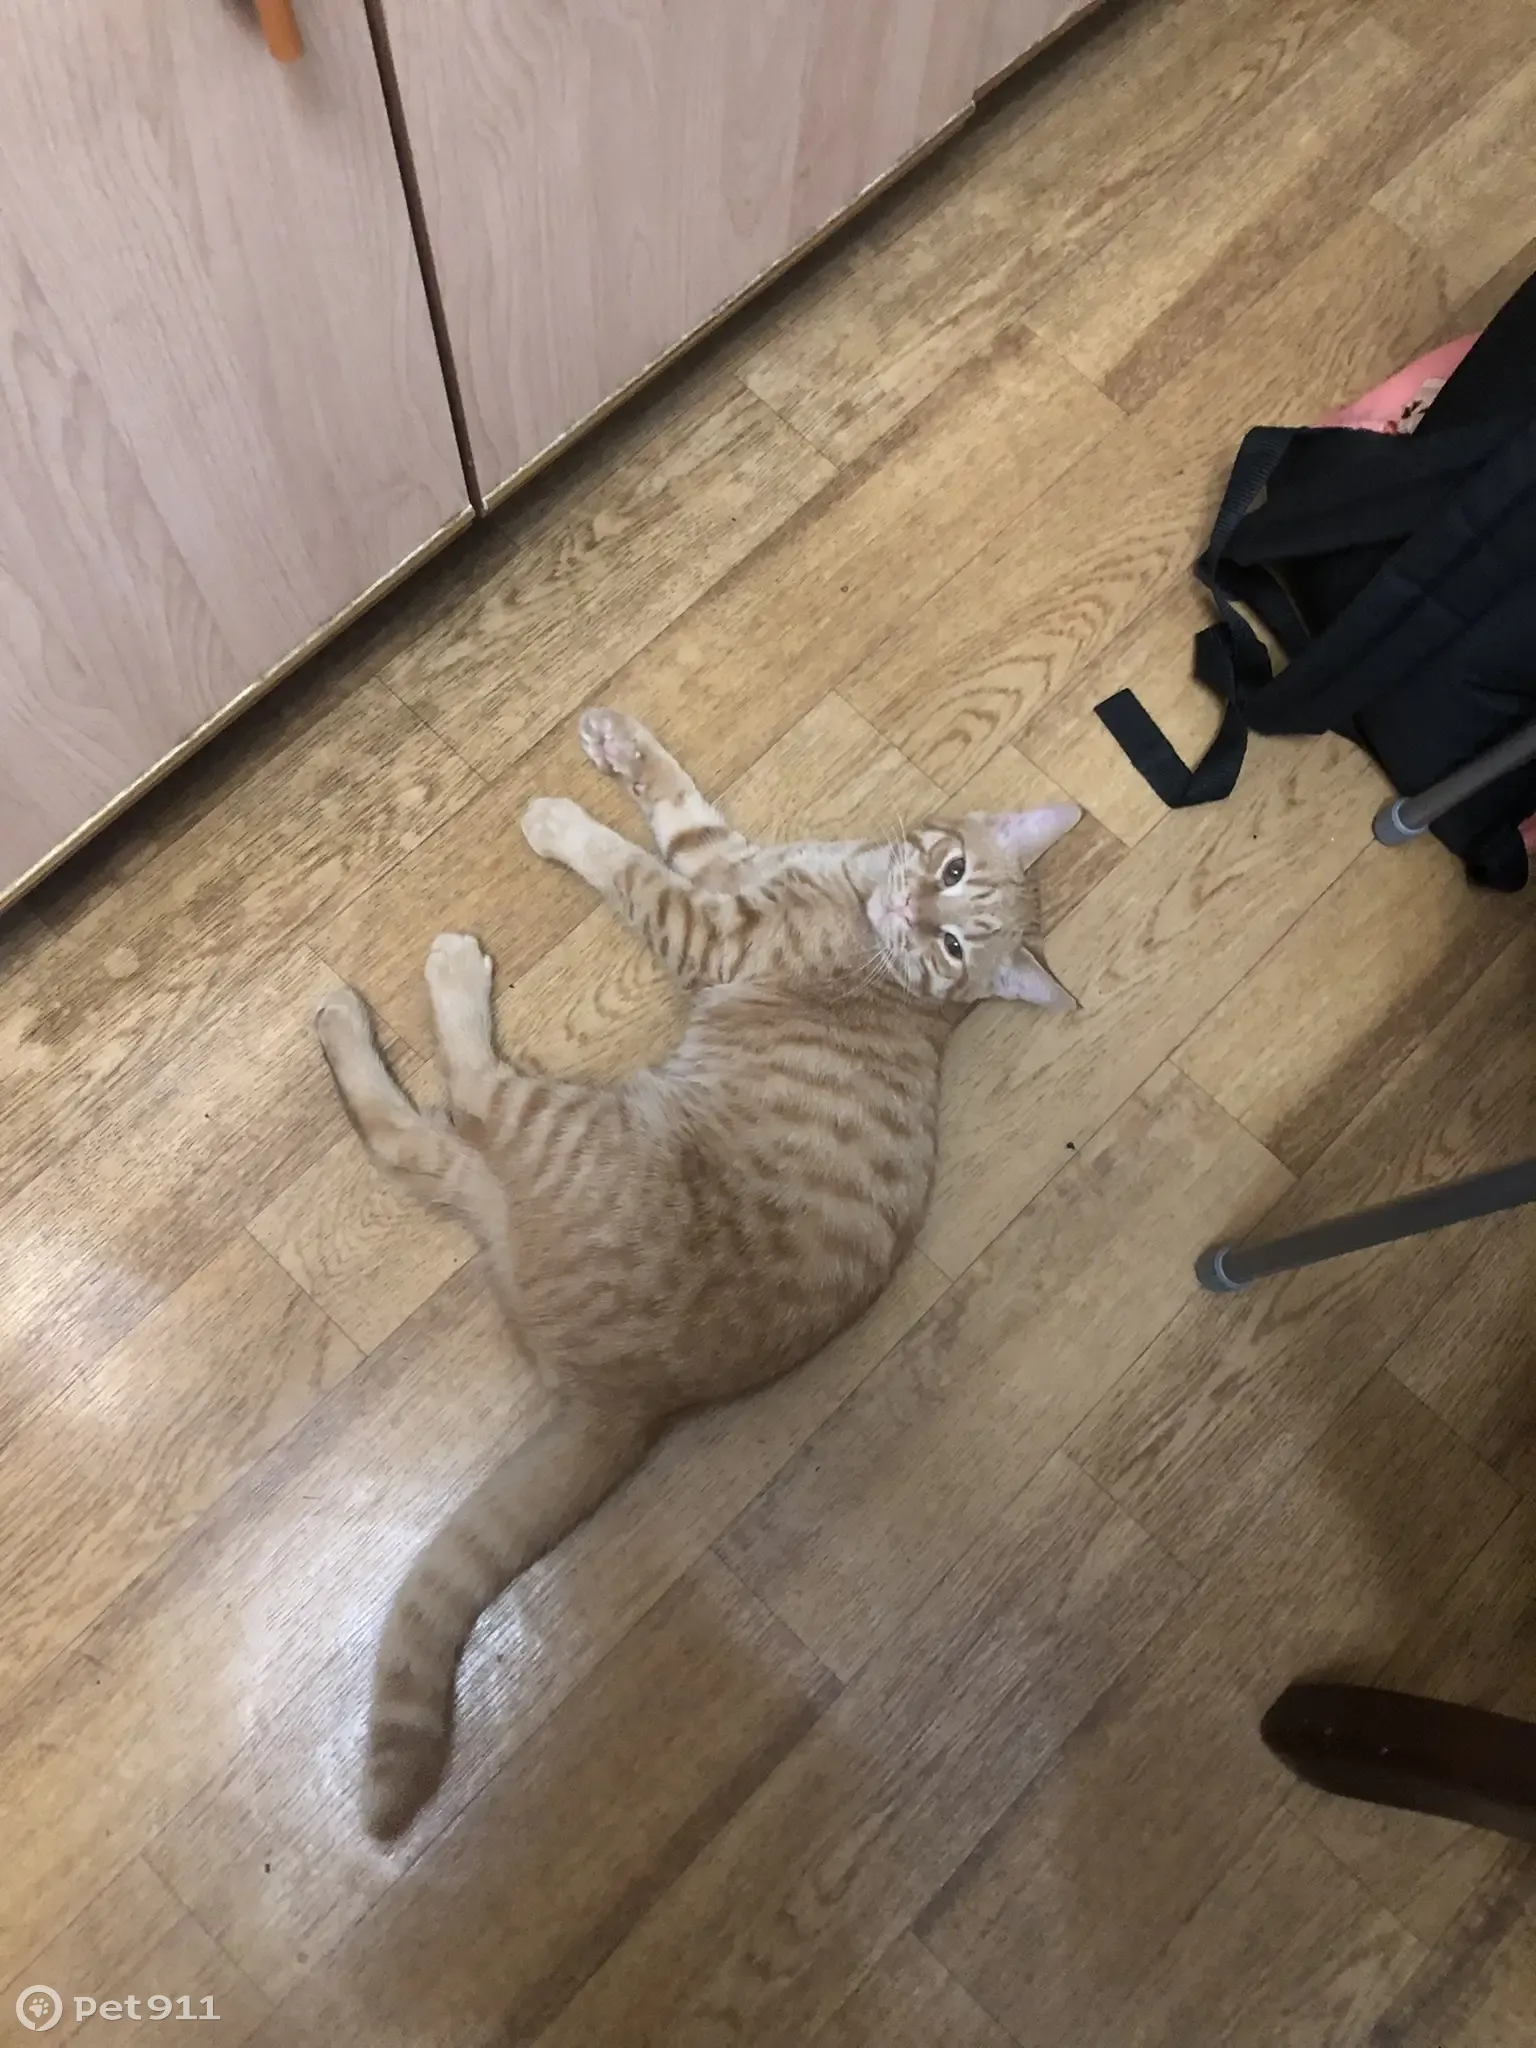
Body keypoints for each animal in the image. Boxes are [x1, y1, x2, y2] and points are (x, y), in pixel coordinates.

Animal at [315, 707, 1080, 1839]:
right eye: (948, 873)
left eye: (954, 942)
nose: (917, 904)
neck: (859, 899)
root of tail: (629, 1397)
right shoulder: (730, 860)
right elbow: (678, 805)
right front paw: (620, 742)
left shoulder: (705, 925)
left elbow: (630, 866)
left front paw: (562, 822)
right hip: (493, 1176)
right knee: (409, 1143)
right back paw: (344, 1026)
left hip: (551, 1125)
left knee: (468, 1094)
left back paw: (443, 985)